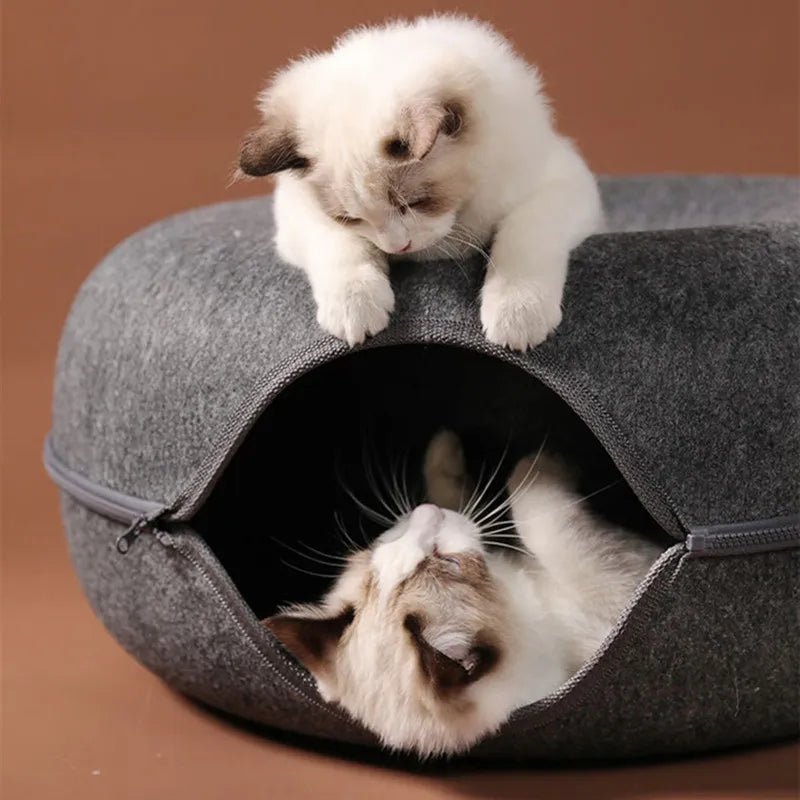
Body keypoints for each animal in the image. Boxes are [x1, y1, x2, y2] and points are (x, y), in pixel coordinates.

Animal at [241, 14, 604, 350]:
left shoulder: (560, 183)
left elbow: (521, 239)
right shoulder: (298, 215)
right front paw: (354, 307)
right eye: (352, 218)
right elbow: (341, 246)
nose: (397, 247)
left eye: (416, 204)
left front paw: (517, 315)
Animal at [264, 432, 664, 756]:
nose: (426, 511)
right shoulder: (617, 587)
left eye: (382, 545)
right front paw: (542, 459)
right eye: (451, 561)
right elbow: (541, 518)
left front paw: (444, 453)